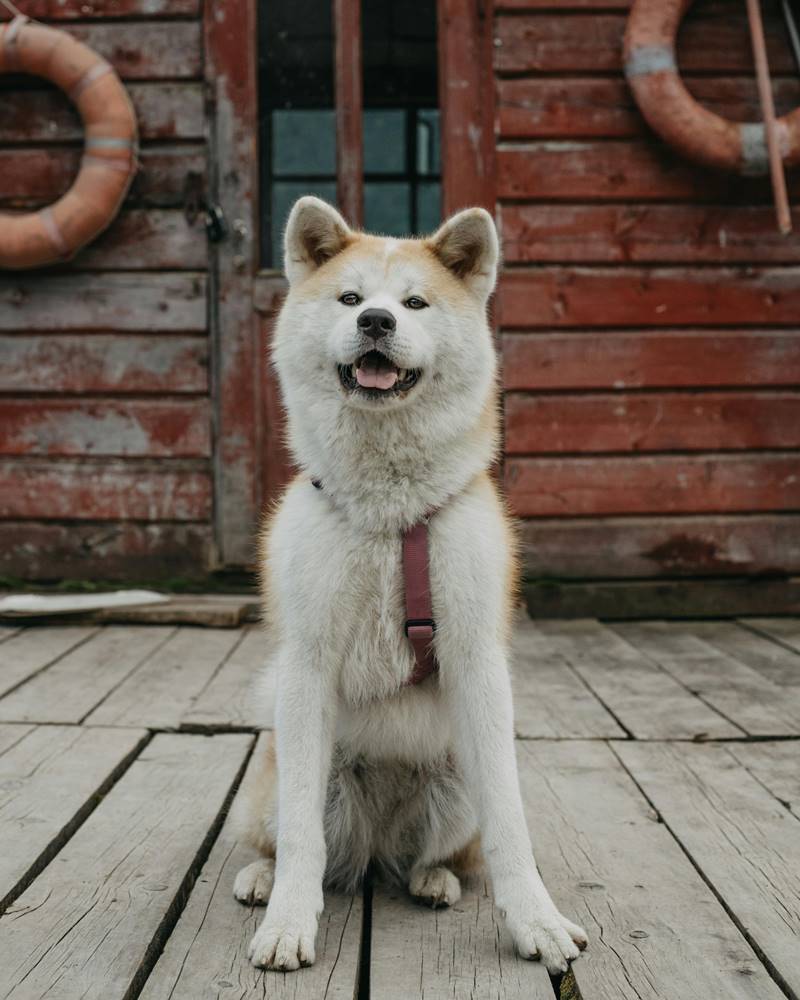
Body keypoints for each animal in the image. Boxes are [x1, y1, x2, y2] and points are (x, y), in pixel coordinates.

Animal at [231, 197, 588, 976]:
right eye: (350, 298)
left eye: (415, 303)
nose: (376, 322)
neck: (389, 513)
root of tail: (374, 848)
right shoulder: (305, 666)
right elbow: (301, 836)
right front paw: (288, 921)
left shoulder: (477, 661)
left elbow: (512, 828)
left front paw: (536, 921)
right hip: (284, 771)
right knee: (283, 835)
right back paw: (262, 878)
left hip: (455, 788)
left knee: (443, 853)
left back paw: (432, 879)